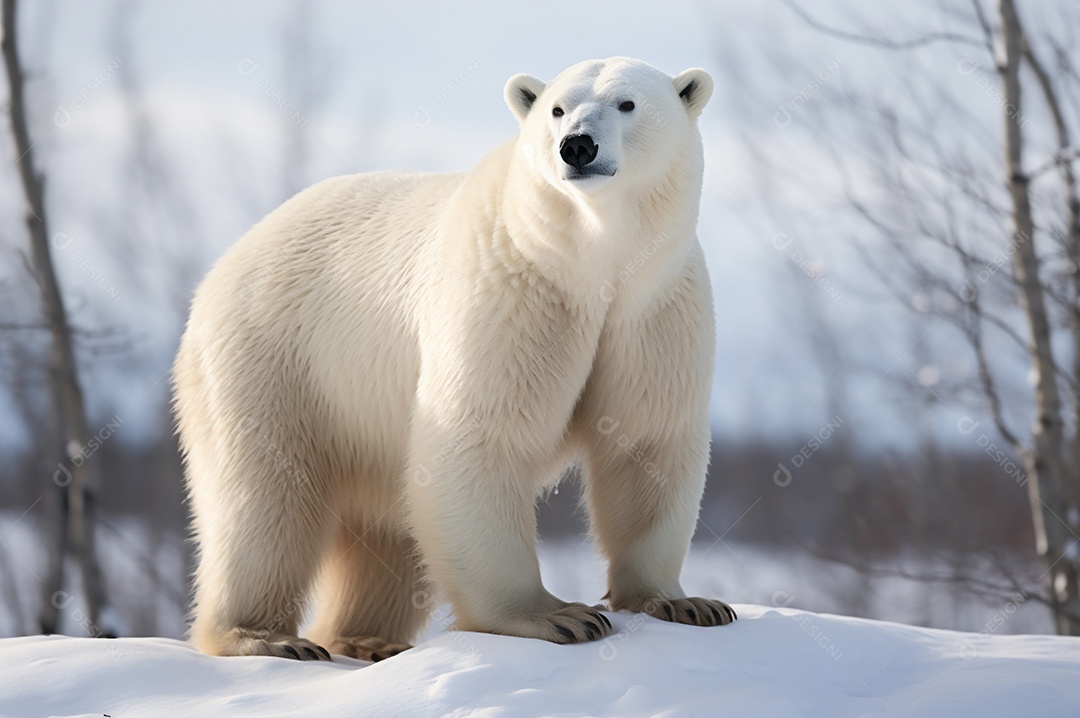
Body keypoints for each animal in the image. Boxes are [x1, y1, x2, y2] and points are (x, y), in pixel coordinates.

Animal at [173, 56, 735, 663]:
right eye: (557, 108)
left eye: (627, 103)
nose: (577, 145)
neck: (591, 262)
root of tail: (223, 267)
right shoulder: (513, 289)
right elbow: (481, 435)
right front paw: (556, 616)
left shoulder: (652, 308)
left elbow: (645, 441)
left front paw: (684, 603)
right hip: (273, 360)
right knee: (263, 499)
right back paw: (266, 636)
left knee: (382, 528)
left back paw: (367, 639)